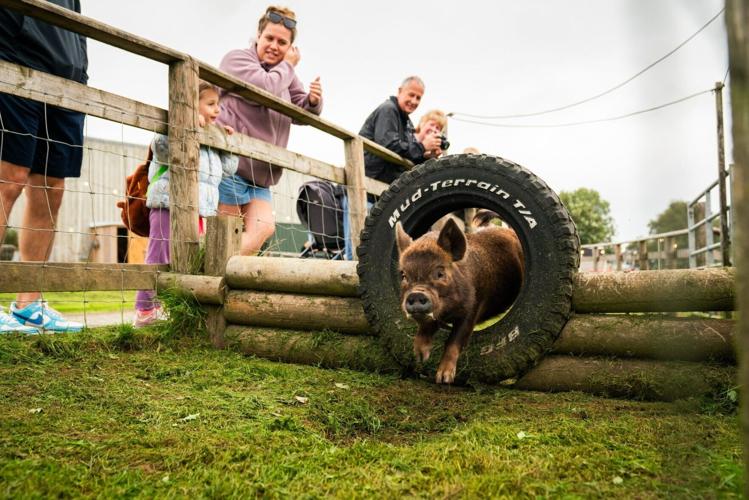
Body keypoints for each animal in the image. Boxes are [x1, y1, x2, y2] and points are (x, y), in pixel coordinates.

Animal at [395, 217, 524, 384]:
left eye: (440, 273)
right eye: (404, 275)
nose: (416, 294)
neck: (448, 314)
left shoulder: (473, 308)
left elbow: (454, 340)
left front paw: (444, 378)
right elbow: (426, 327)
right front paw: (420, 357)